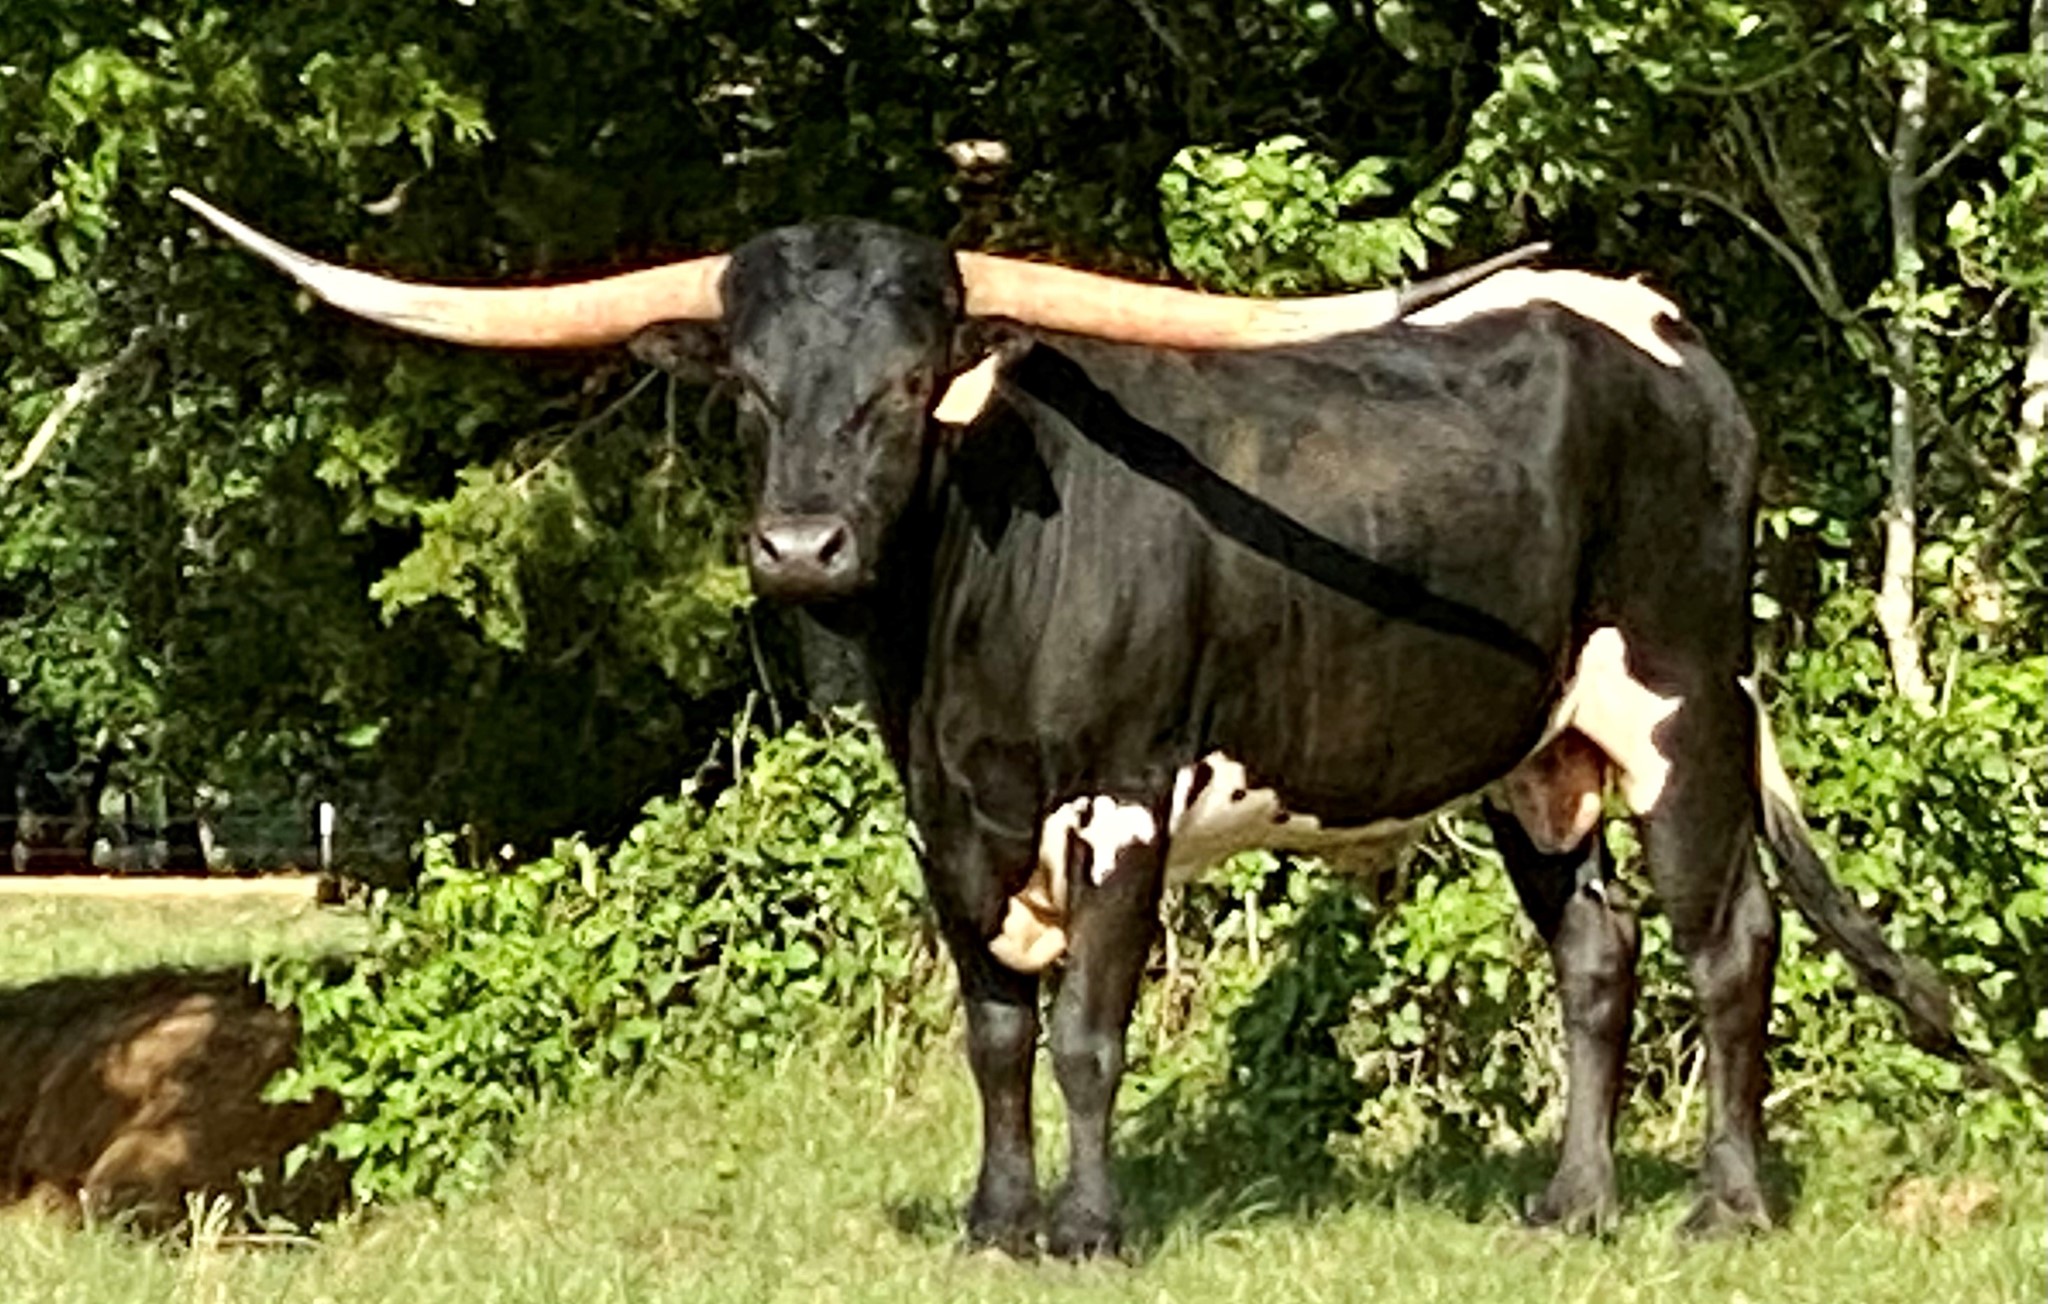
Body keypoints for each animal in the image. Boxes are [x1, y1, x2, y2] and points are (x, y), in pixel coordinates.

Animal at [172, 190, 1966, 1255]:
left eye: (905, 387)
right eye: (751, 392)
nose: (799, 548)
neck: (963, 619)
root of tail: (1670, 341)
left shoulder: (1115, 799)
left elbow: (1092, 1028)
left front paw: (1090, 1226)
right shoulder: (948, 821)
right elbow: (993, 1030)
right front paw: (993, 1216)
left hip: (1680, 701)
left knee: (1727, 942)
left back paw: (1726, 1206)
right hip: (1540, 758)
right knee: (1593, 954)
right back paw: (1569, 1201)